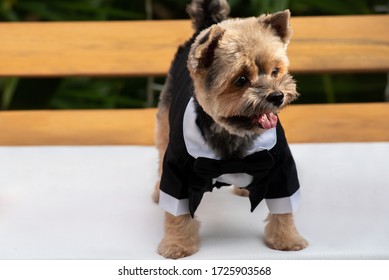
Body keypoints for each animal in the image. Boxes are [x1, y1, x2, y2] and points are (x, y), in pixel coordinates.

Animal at [152, 0, 306, 258]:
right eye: (241, 80)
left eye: (275, 71)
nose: (277, 96)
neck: (233, 133)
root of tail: (205, 25)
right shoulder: (178, 167)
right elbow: (177, 213)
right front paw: (177, 244)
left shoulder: (279, 162)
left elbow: (283, 207)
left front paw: (287, 239)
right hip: (165, 122)